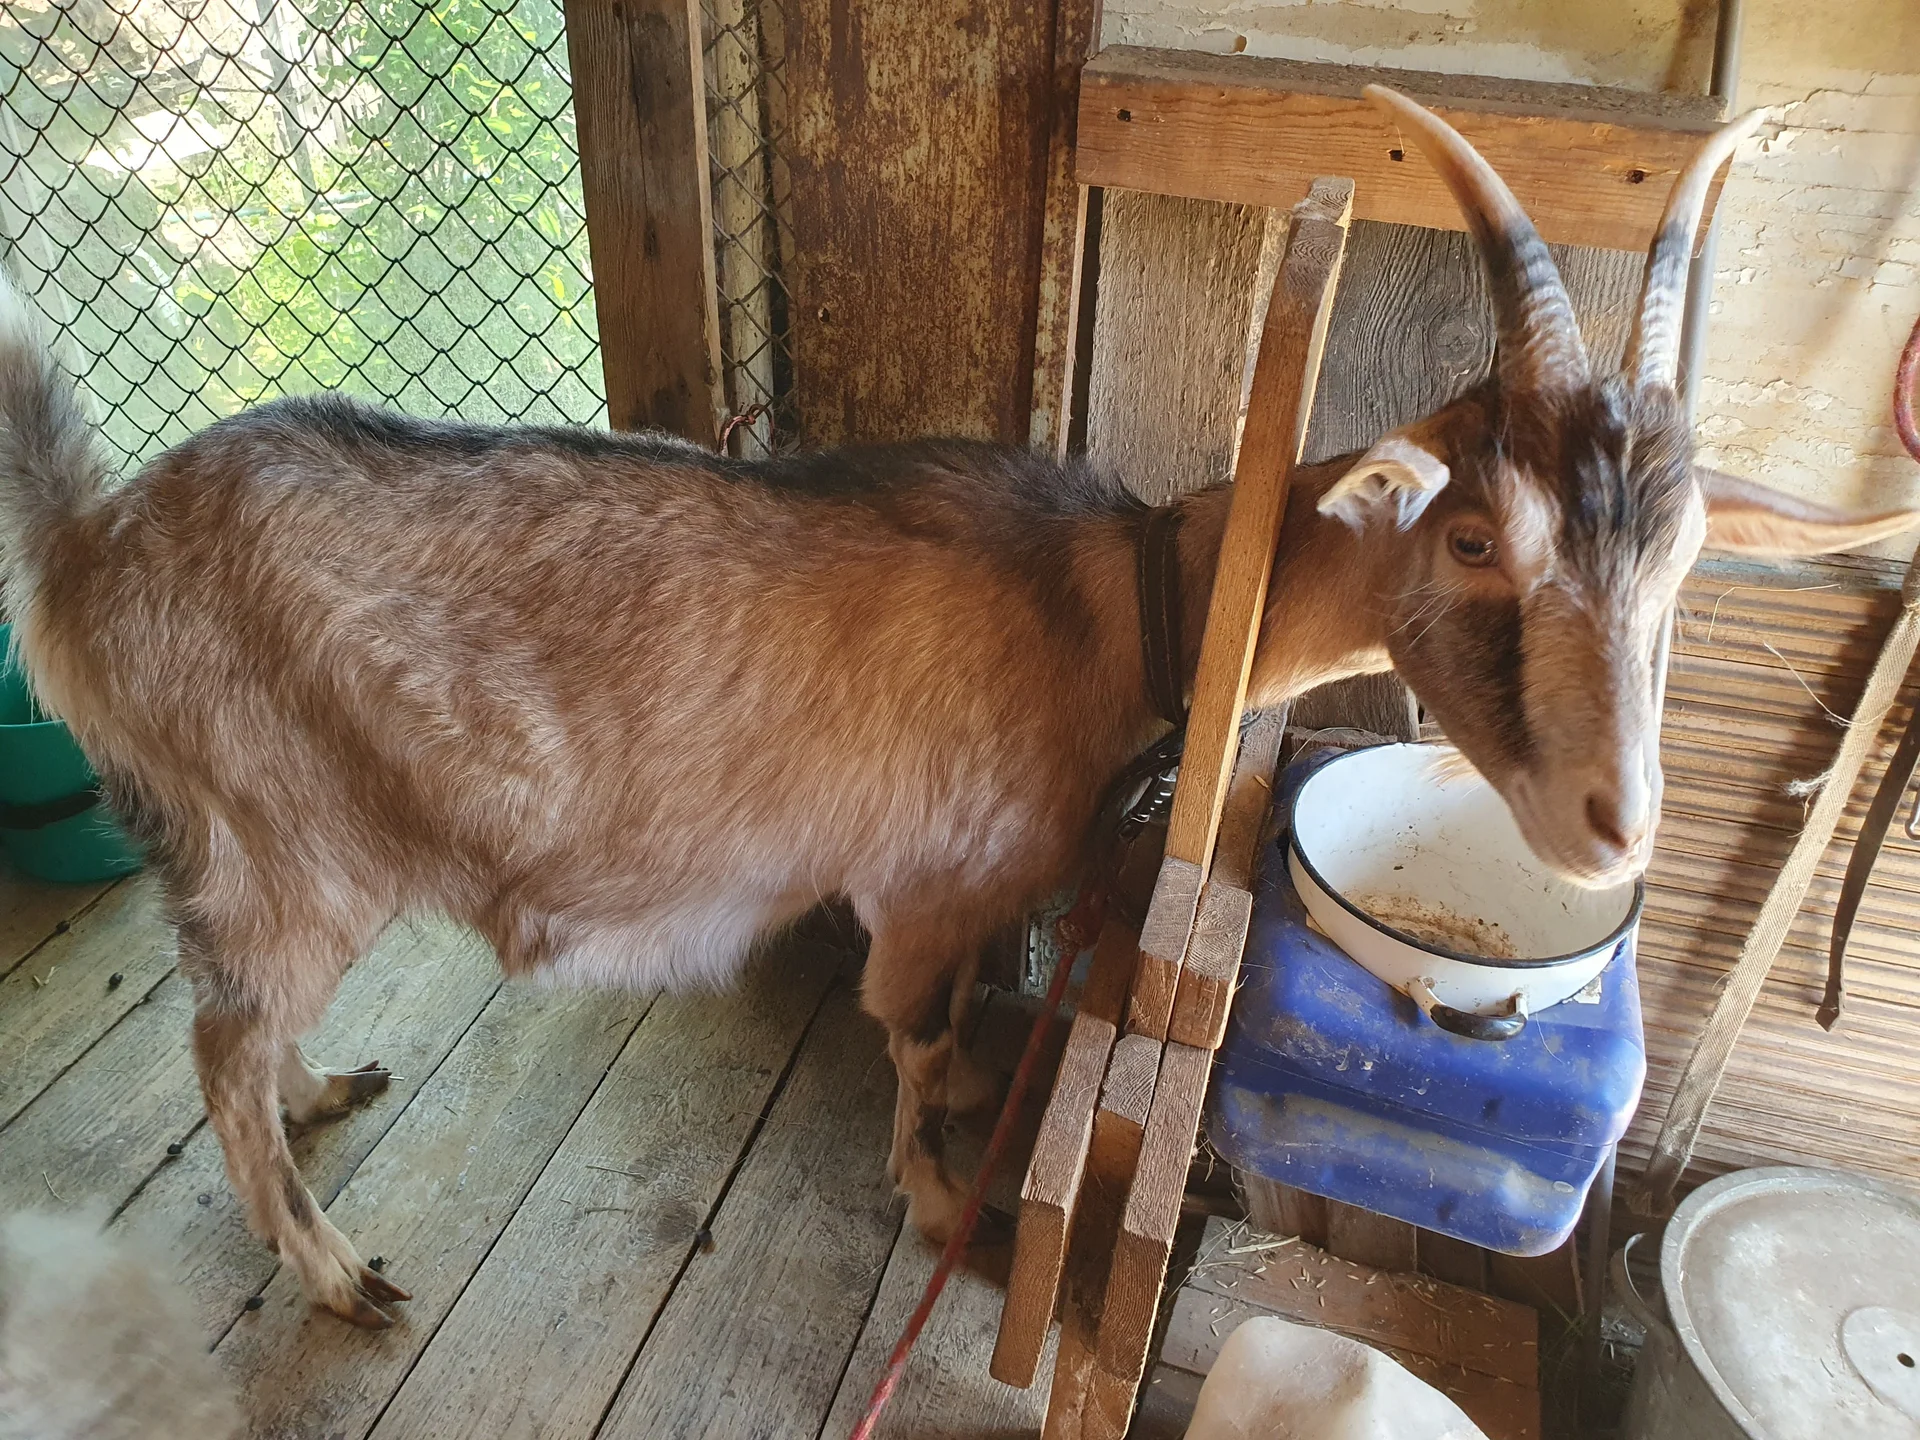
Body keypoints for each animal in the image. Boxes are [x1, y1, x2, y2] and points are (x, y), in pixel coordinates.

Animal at [1, 88, 1913, 1330]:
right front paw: (941, 1207)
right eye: (1468, 534)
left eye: (1682, 566)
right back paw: (331, 1268)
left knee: (240, 1029)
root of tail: (85, 549)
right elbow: (914, 1051)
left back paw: (324, 1102)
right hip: (279, 840)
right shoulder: (921, 896)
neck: (1125, 603)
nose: (1616, 823)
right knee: (212, 1046)